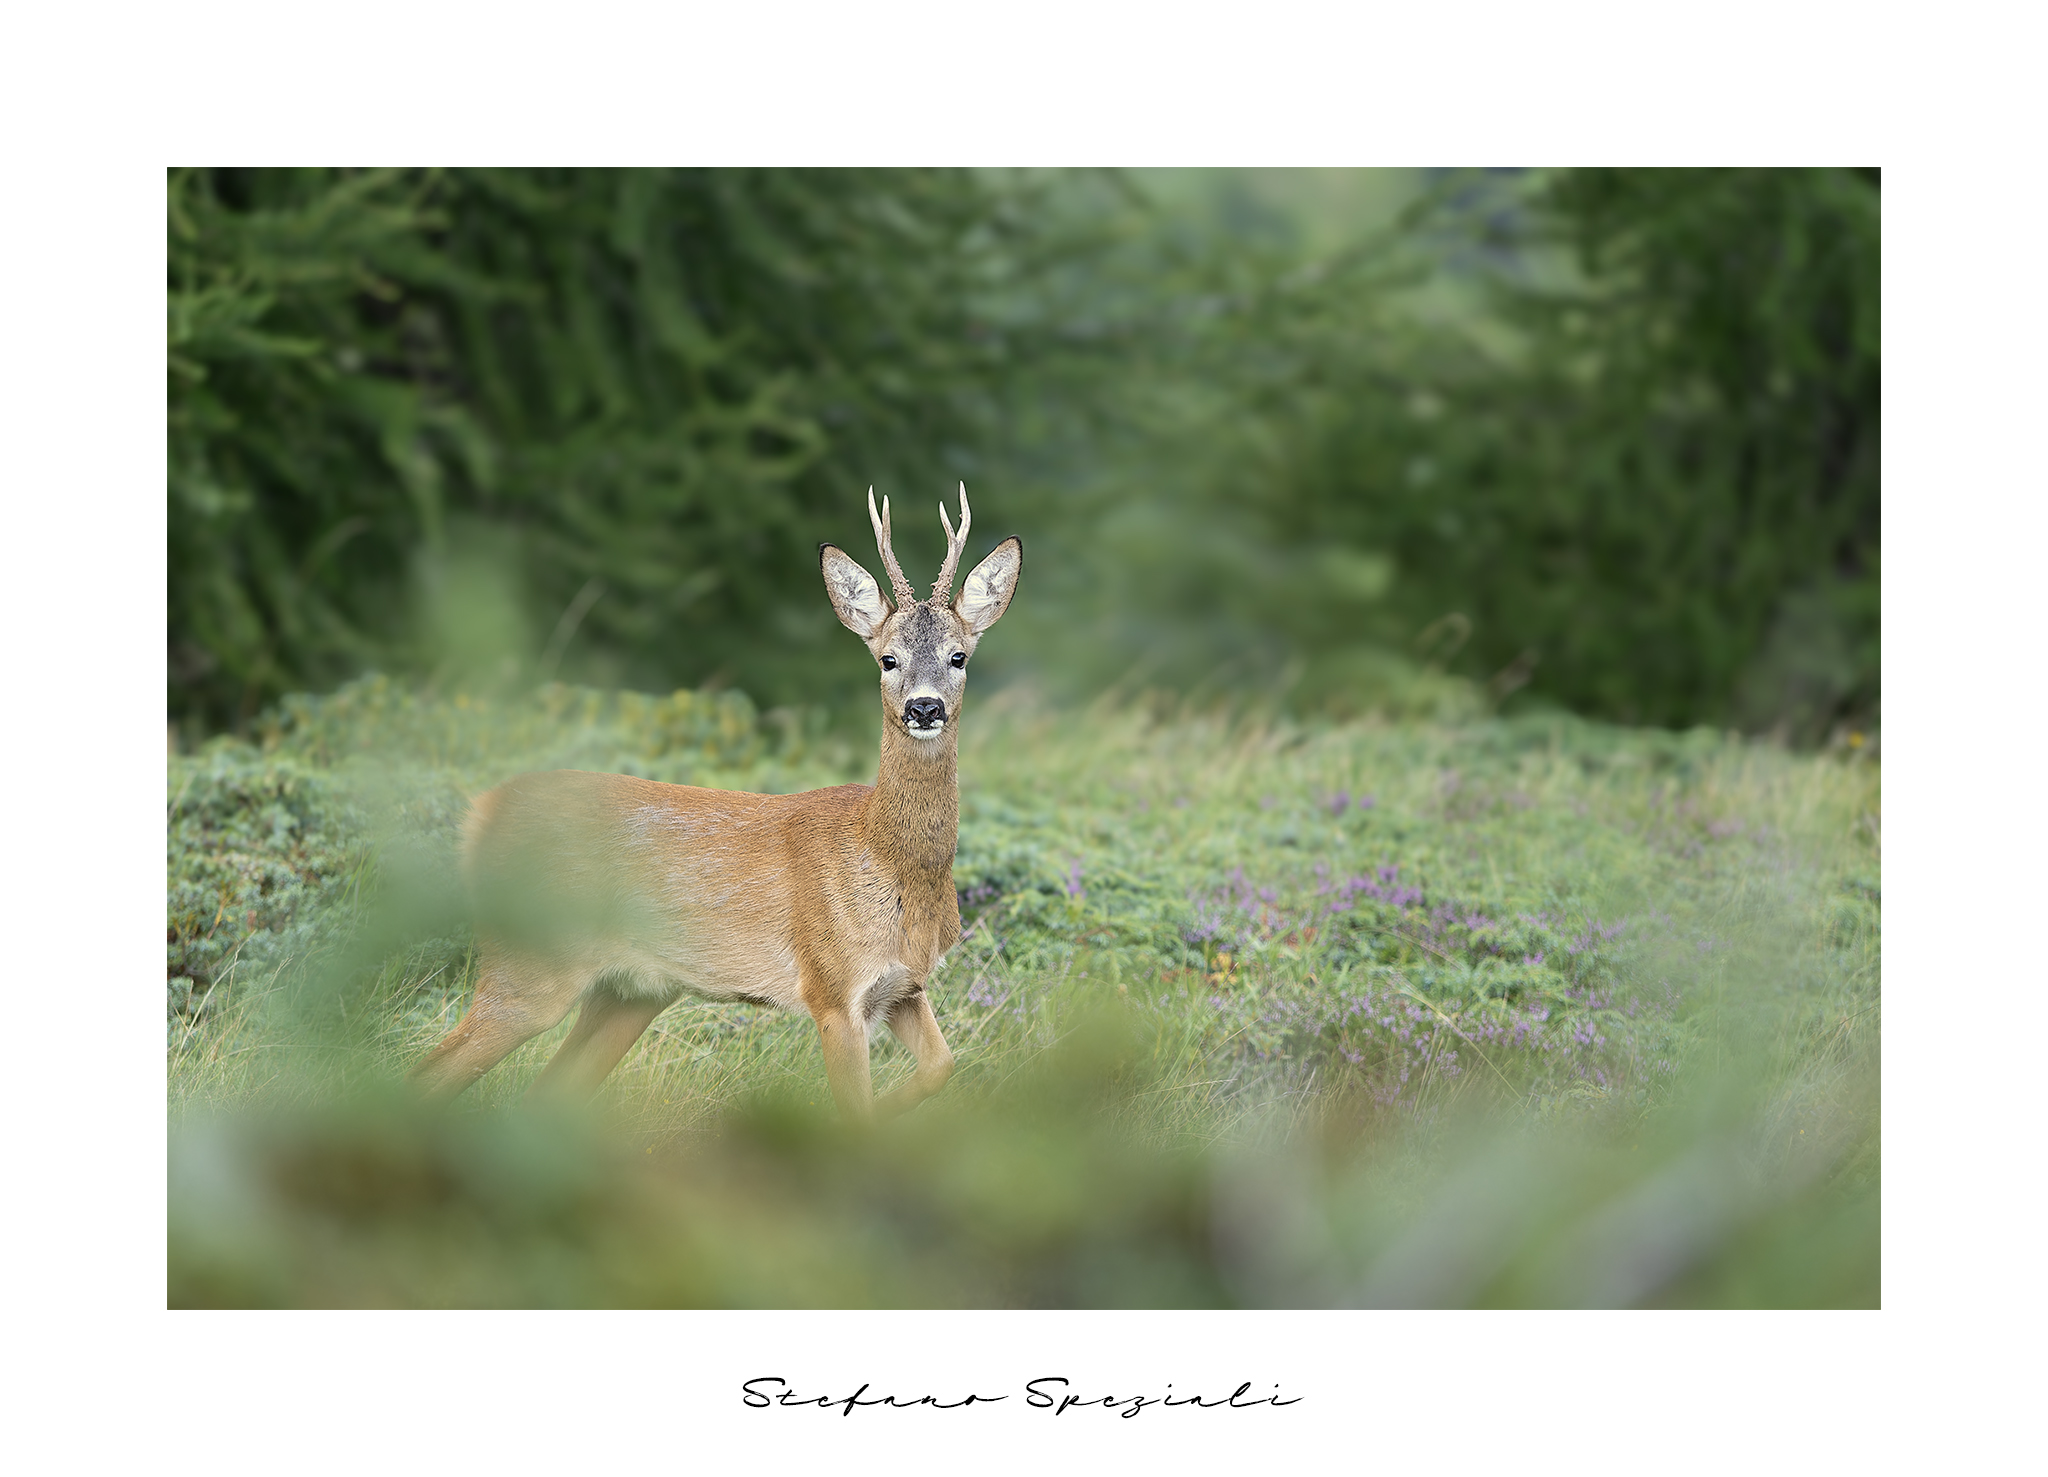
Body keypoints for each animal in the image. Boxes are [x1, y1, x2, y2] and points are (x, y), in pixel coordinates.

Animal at [406, 485, 1021, 1123]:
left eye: (958, 656)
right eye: (887, 659)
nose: (924, 708)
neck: (889, 860)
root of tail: (480, 815)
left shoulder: (903, 988)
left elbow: (941, 1066)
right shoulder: (831, 987)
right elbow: (856, 1115)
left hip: (631, 992)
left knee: (542, 1092)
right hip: (531, 963)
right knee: (424, 1078)